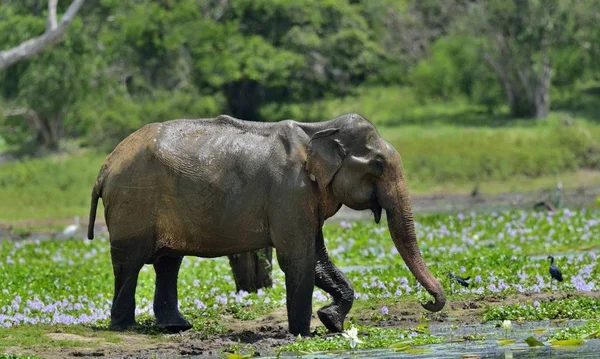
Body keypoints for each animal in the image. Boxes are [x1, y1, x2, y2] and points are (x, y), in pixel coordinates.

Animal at [88, 113, 446, 338]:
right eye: (379, 165)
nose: (427, 303)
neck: (320, 128)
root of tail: (105, 167)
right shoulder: (290, 192)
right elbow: (299, 259)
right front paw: (304, 333)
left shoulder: (304, 198)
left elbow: (316, 258)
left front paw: (331, 322)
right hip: (134, 202)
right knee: (131, 263)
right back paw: (125, 327)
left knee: (167, 263)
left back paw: (177, 327)